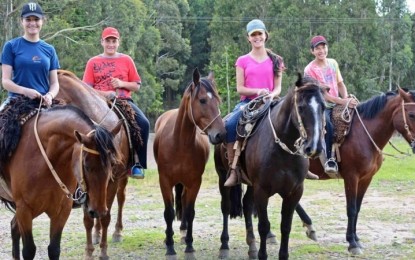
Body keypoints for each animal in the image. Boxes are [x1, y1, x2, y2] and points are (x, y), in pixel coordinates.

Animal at [0, 101, 120, 260]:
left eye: (112, 163)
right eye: (86, 165)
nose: (98, 211)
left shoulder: (62, 210)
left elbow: (54, 249)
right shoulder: (24, 208)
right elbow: (29, 250)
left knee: (14, 226)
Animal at [56, 70, 132, 258]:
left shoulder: (112, 180)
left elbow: (106, 216)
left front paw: (103, 251)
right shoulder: (84, 182)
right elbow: (89, 219)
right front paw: (89, 251)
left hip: (123, 178)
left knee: (120, 199)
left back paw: (117, 232)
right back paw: (97, 234)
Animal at [154, 68, 228, 258]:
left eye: (218, 100)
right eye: (202, 100)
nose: (221, 134)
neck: (180, 143)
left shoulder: (194, 182)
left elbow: (190, 211)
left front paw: (189, 245)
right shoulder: (164, 181)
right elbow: (168, 213)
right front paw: (170, 247)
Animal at [214, 73, 328, 260]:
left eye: (324, 107)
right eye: (301, 107)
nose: (315, 147)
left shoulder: (294, 191)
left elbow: (286, 226)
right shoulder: (262, 190)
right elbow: (264, 225)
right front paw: (262, 254)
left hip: (251, 184)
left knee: (246, 205)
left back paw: (252, 246)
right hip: (223, 176)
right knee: (225, 207)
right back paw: (224, 246)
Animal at [296, 87, 415, 254]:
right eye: (411, 114)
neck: (365, 134)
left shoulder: (366, 178)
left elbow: (358, 208)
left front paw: (357, 239)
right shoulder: (351, 177)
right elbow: (351, 209)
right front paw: (352, 243)